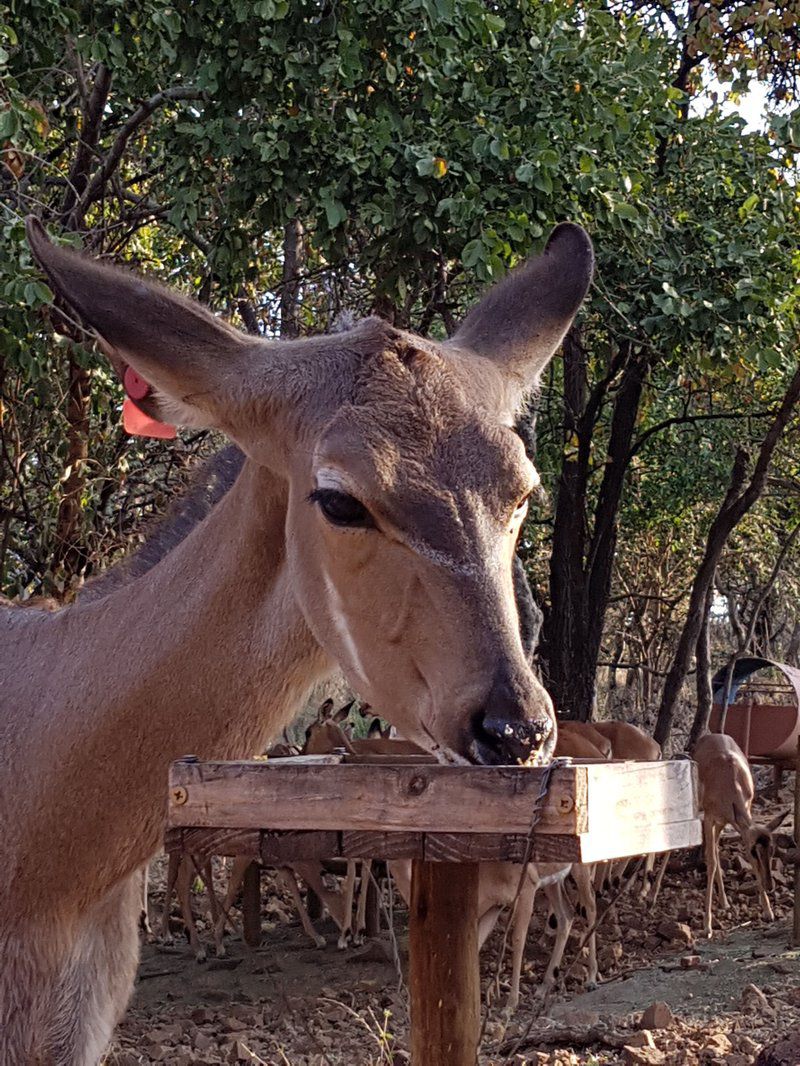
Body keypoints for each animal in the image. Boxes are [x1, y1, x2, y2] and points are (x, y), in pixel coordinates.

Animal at [695, 737, 789, 938]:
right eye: (754, 851)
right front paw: (707, 926)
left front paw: (768, 912)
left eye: (772, 849)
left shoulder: (742, 815)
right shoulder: (709, 818)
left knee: (716, 849)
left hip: (723, 822)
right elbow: (711, 862)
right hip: (712, 818)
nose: (770, 885)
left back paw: (725, 902)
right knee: (712, 854)